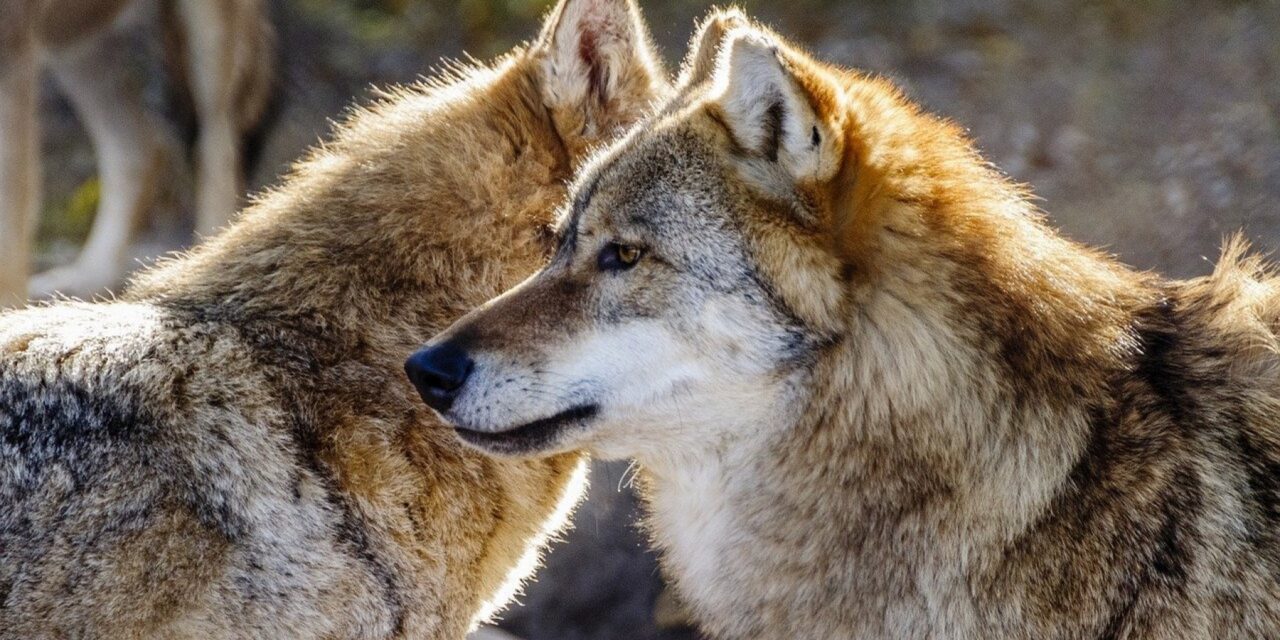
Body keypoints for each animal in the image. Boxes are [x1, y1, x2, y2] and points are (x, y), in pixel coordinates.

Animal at [0, 0, 275, 304]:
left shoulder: (12, 45)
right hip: (73, 41)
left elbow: (8, 245)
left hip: (208, 46)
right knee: (142, 148)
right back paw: (84, 286)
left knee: (218, 153)